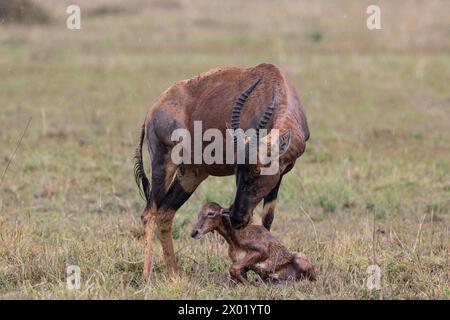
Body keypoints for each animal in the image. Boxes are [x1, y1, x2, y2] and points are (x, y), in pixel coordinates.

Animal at [134, 63, 310, 280]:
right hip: (163, 162)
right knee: (149, 213)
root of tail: (153, 109)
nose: (236, 219)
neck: (274, 86)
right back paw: (147, 276)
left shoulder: (279, 176)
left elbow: (266, 220)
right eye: (237, 168)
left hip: (191, 173)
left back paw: (175, 275)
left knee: (165, 213)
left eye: (257, 170)